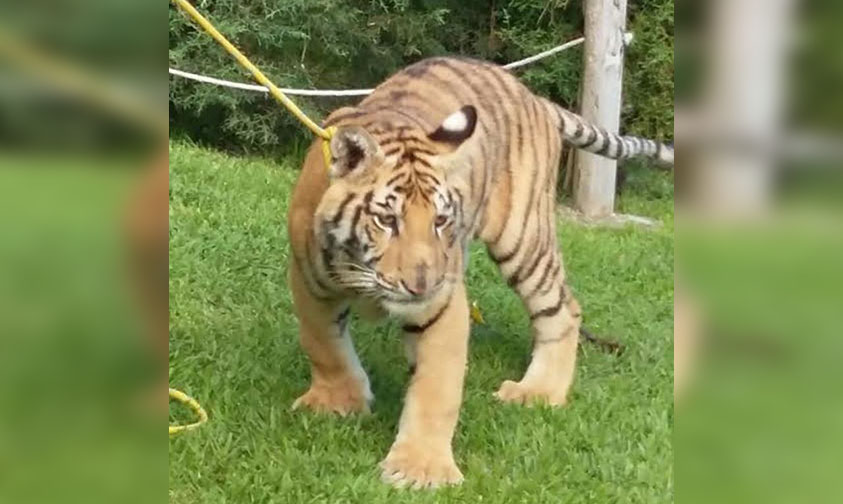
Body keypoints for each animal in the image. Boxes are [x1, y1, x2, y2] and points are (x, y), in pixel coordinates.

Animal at [286, 55, 676, 488]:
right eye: (387, 220)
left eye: (440, 220)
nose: (421, 284)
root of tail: (534, 97)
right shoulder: (308, 281)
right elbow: (324, 346)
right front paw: (338, 402)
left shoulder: (443, 304)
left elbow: (436, 387)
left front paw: (420, 468)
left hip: (524, 236)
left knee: (563, 310)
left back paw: (538, 391)